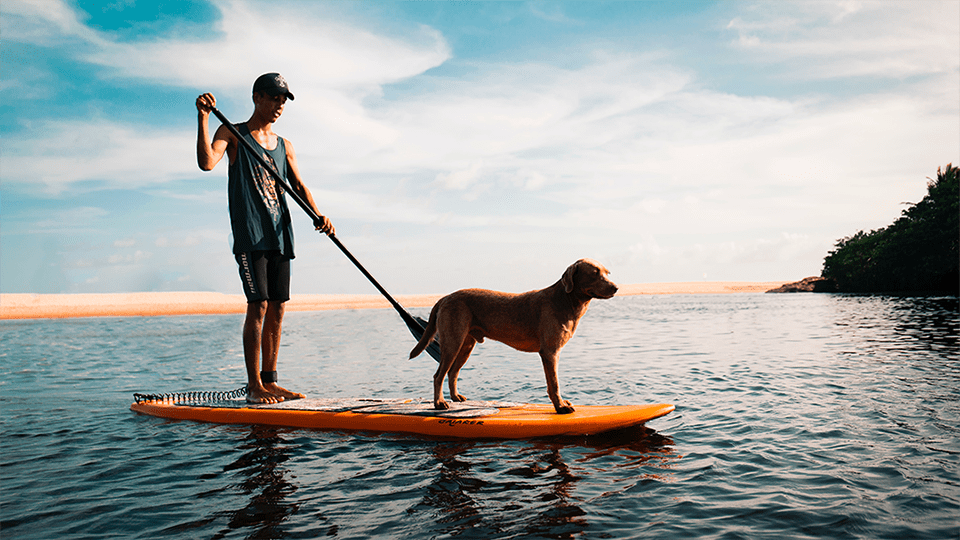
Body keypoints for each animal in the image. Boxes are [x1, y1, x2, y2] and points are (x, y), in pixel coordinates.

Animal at [408, 258, 620, 414]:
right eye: (594, 273)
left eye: (607, 273)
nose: (616, 287)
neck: (566, 301)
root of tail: (444, 298)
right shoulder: (550, 352)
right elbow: (554, 383)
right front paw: (560, 407)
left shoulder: (553, 352)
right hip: (453, 341)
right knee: (439, 375)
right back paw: (439, 403)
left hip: (466, 344)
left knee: (452, 372)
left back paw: (455, 397)